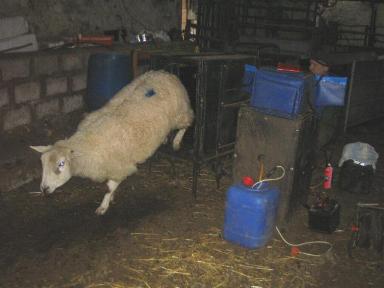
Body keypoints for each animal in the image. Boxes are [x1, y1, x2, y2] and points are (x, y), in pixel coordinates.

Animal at [30, 70, 195, 214]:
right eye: (42, 164)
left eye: (61, 164)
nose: (44, 189)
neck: (87, 144)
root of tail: (164, 72)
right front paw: (112, 197)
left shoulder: (119, 166)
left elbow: (109, 188)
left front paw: (104, 206)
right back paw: (166, 138)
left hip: (180, 113)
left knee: (187, 124)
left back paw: (177, 141)